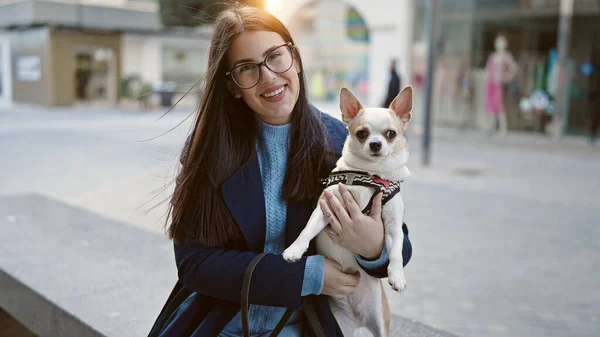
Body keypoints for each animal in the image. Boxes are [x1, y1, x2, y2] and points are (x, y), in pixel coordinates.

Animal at [282, 86, 412, 336]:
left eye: (390, 134)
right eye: (362, 133)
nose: (375, 144)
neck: (370, 175)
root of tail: (359, 318)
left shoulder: (392, 227)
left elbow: (396, 251)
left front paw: (397, 276)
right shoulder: (325, 207)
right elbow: (306, 231)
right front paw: (294, 250)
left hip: (381, 323)